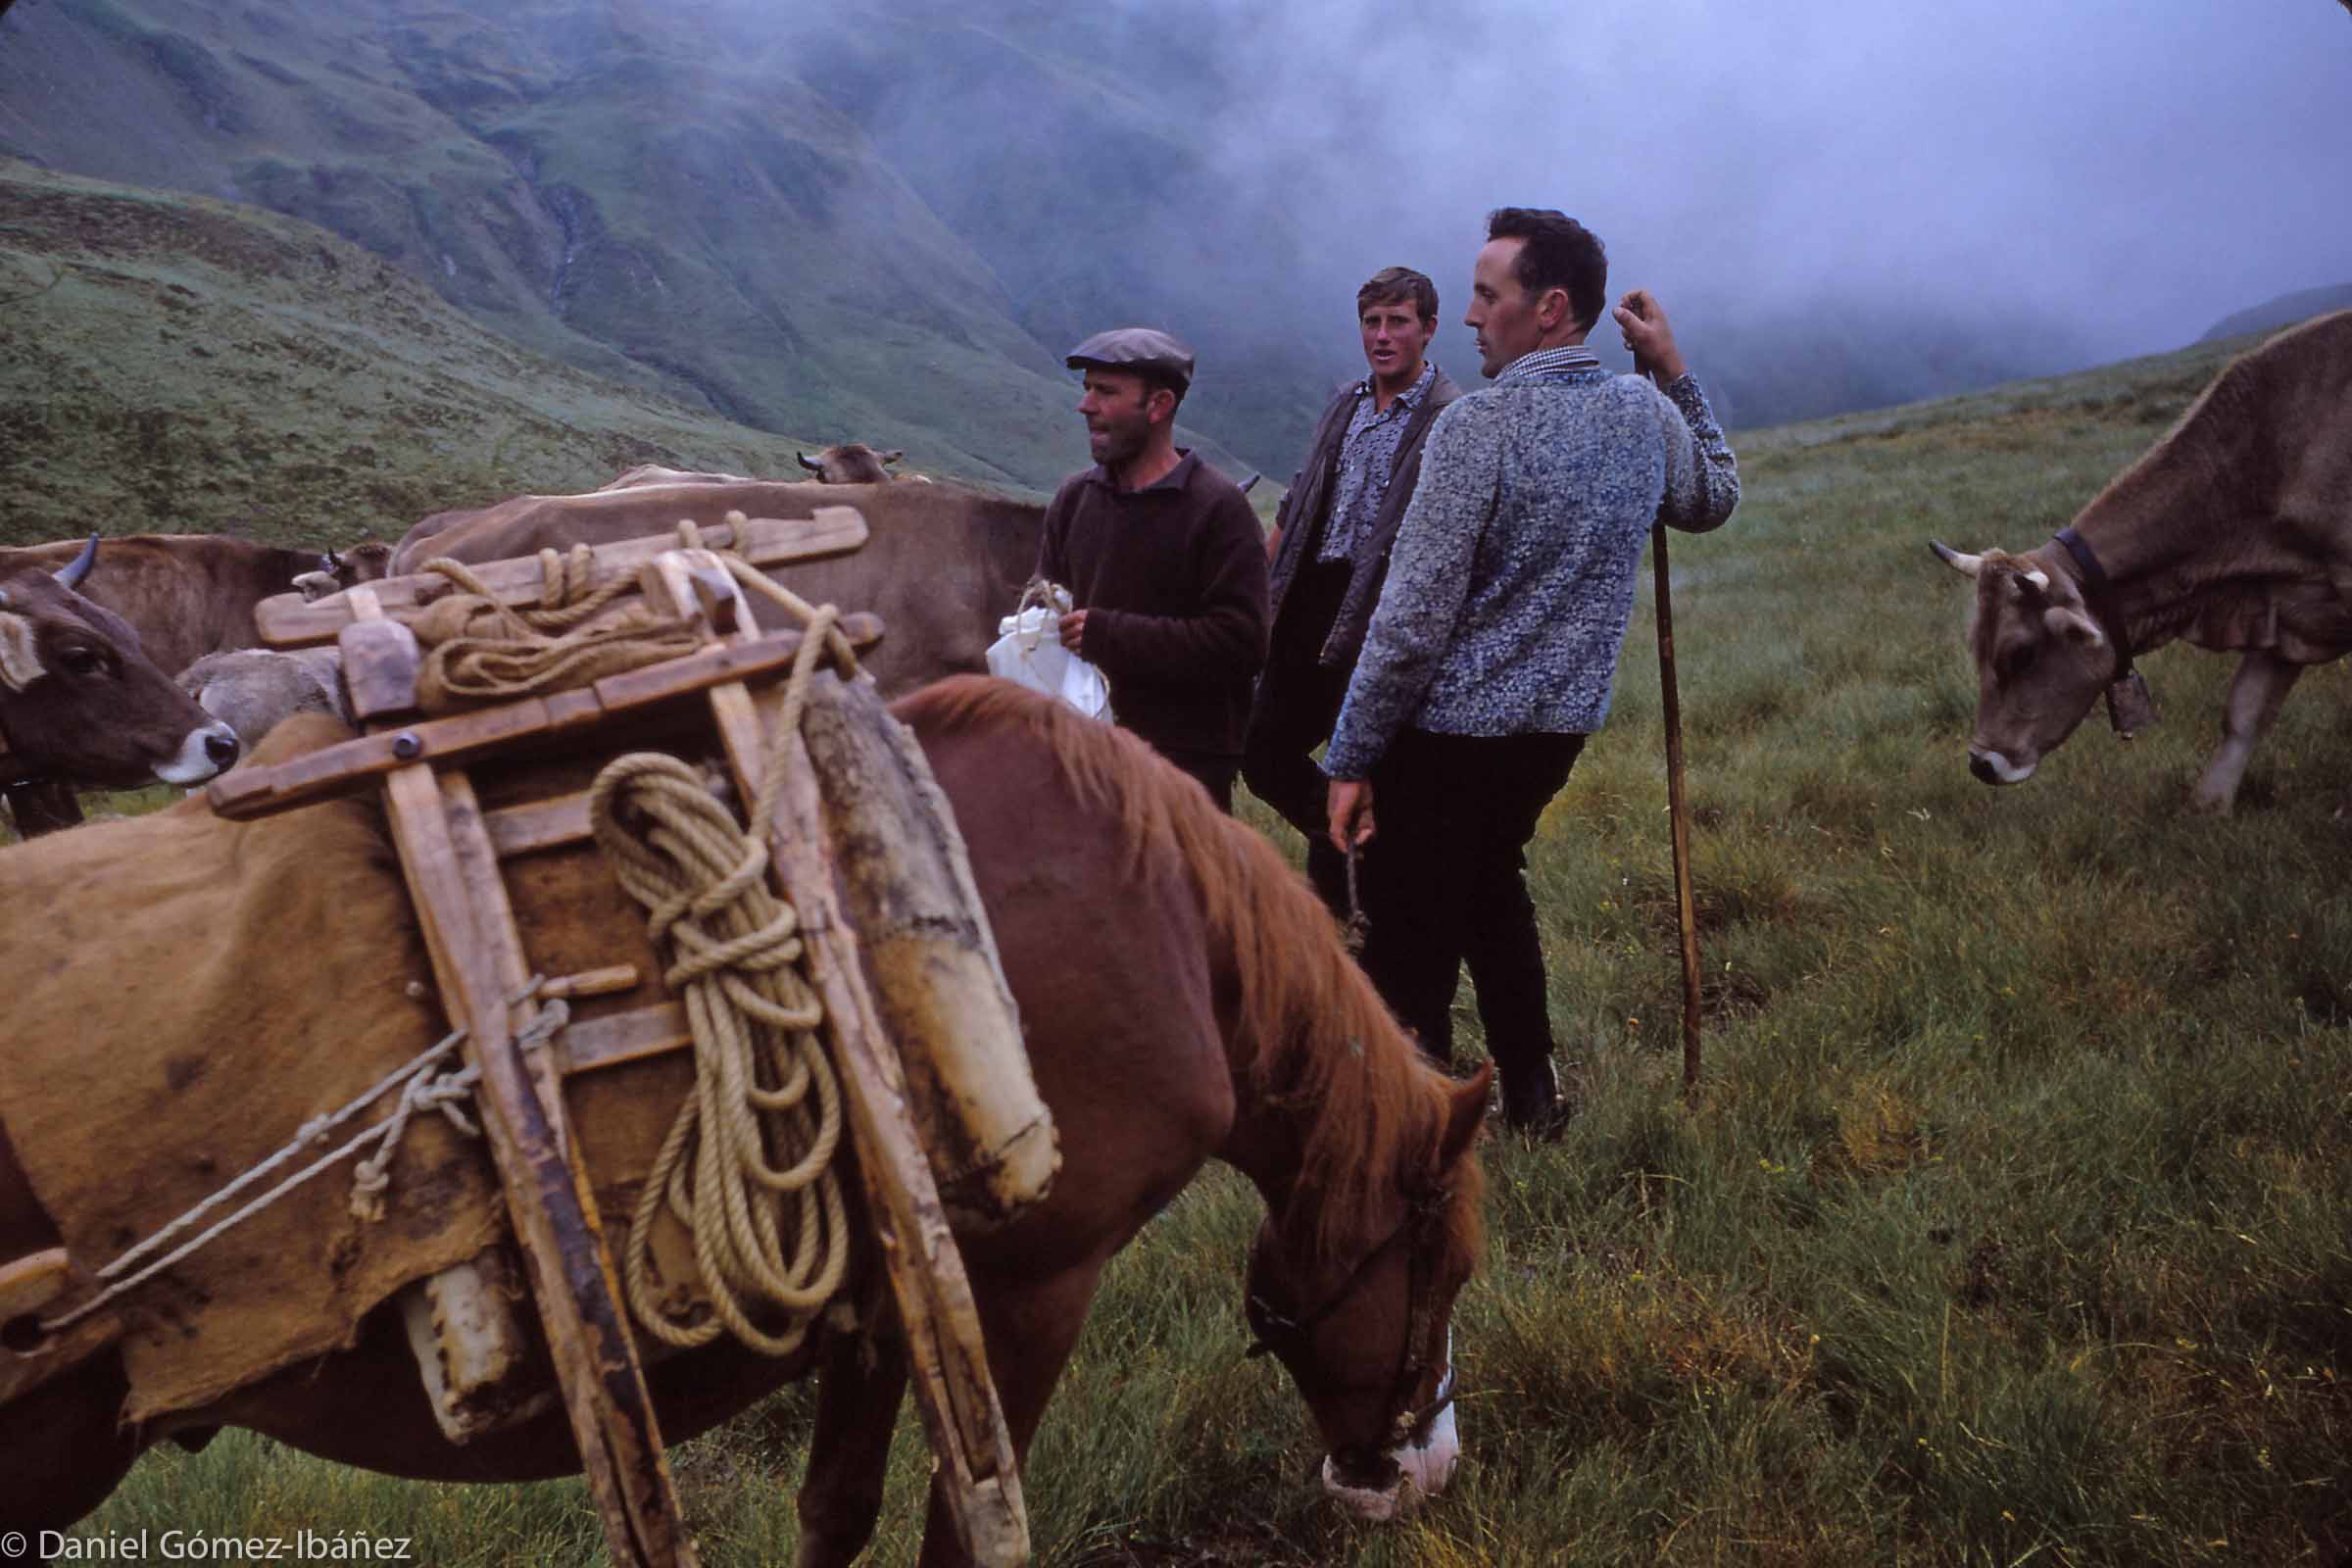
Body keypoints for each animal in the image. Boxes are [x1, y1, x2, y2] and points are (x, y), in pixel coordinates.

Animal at [0, 676, 1486, 1568]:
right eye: (1449, 1267)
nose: (1420, 1473)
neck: (1163, 922)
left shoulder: (887, 1297)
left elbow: (835, 1506)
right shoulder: (1029, 1295)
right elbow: (961, 1528)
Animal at [1929, 313, 2352, 817]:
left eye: (2022, 653)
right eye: (1976, 647)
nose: (1981, 763)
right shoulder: (2281, 610)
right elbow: (2243, 713)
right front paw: (2208, 807)